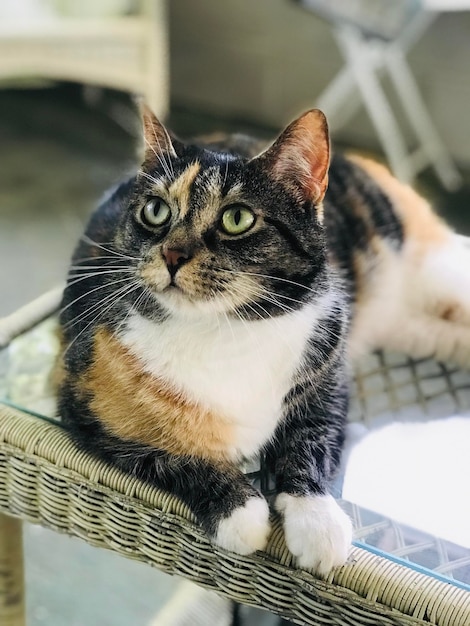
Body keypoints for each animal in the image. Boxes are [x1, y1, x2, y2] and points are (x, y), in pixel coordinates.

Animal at [56, 103, 470, 576]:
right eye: (156, 210)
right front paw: (239, 512)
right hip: (412, 327)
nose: (172, 254)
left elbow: (311, 437)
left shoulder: (330, 374)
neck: (225, 332)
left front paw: (317, 521)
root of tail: (360, 160)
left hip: (435, 271)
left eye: (237, 218)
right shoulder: (83, 405)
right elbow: (163, 455)